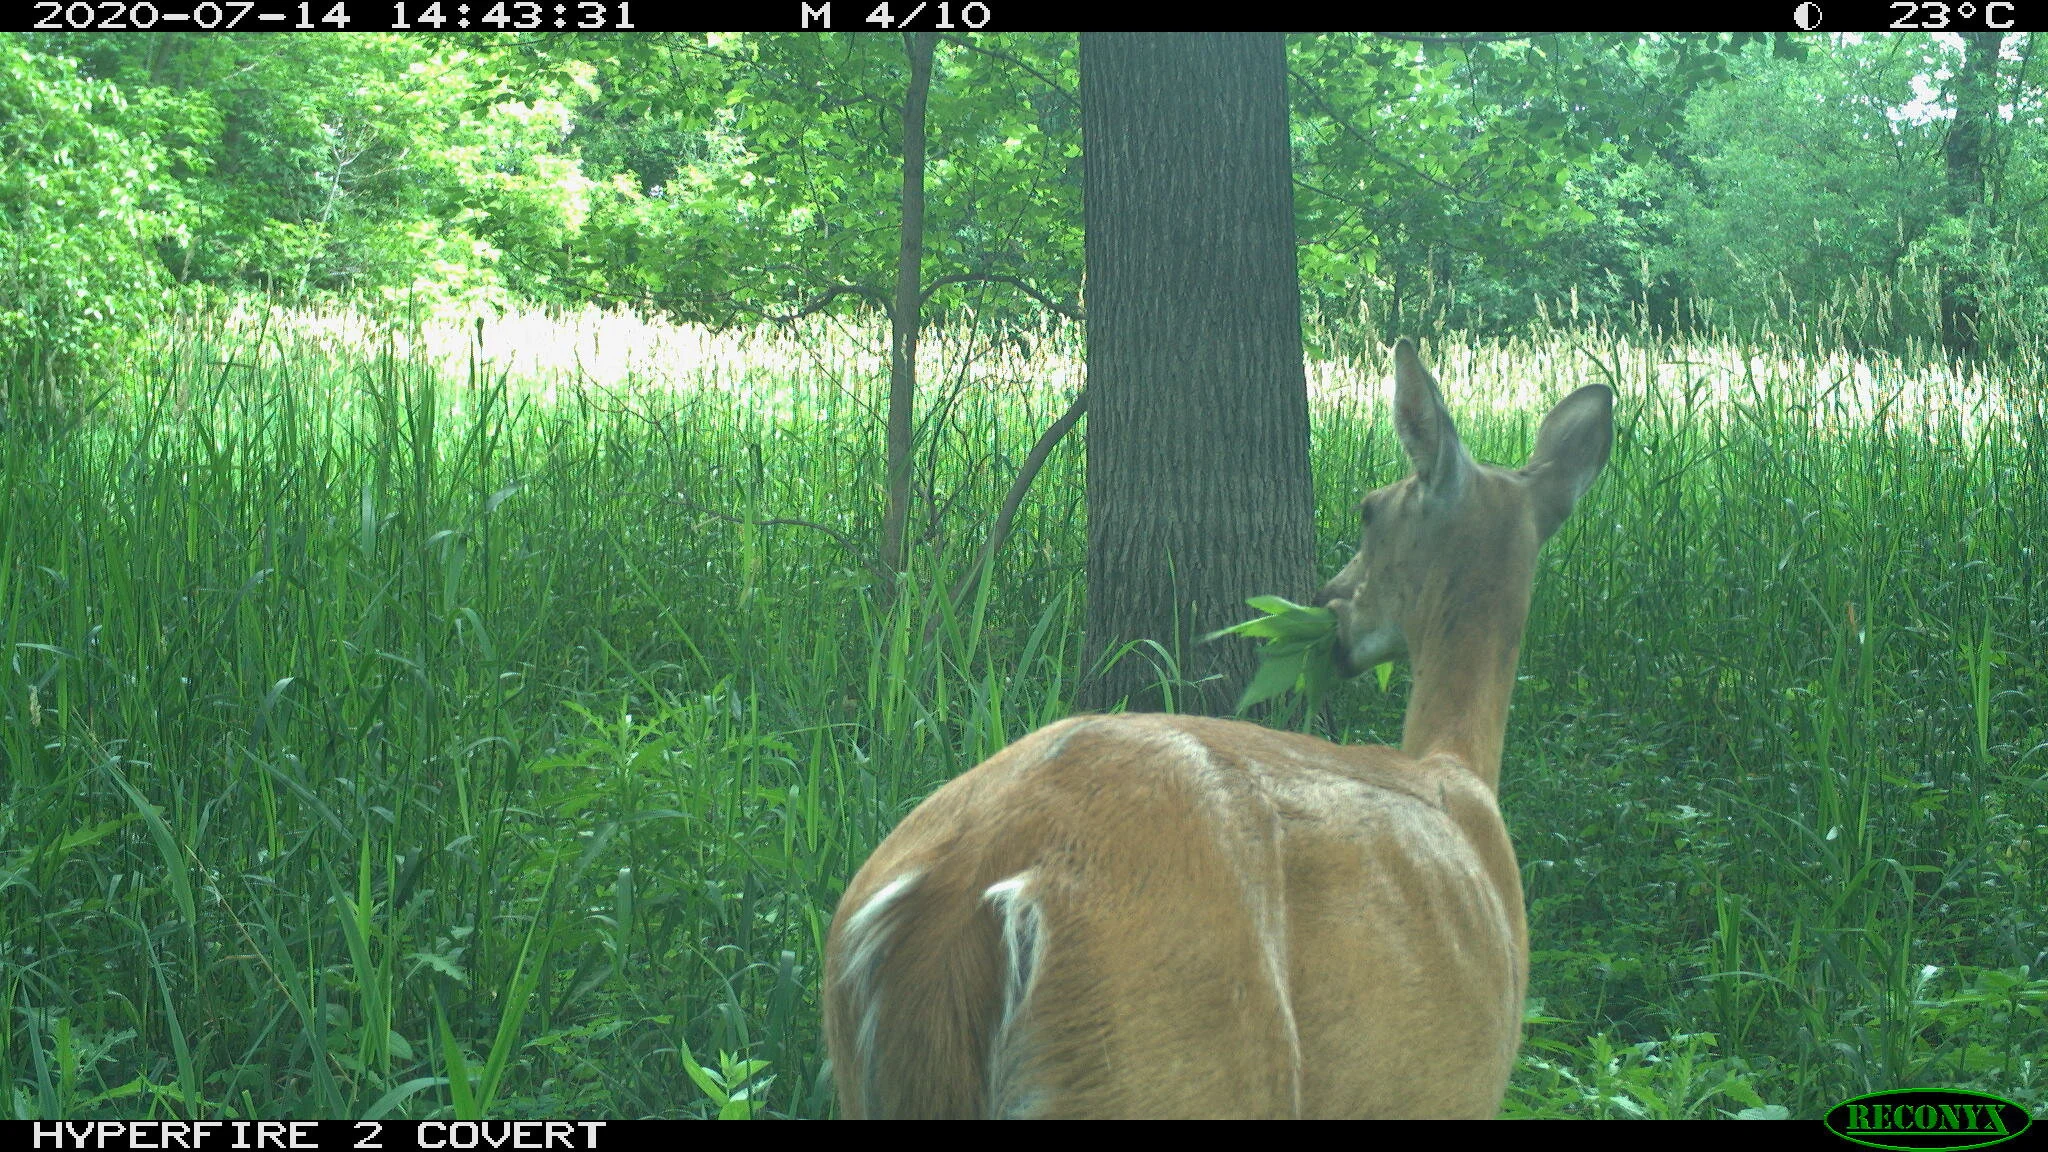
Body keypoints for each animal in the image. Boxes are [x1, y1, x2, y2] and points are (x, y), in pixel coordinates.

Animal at [822, 339, 1614, 1118]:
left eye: (1368, 511)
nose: (1327, 601)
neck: (1460, 771)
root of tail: (957, 891)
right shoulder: (1472, 1085)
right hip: (1173, 1062)